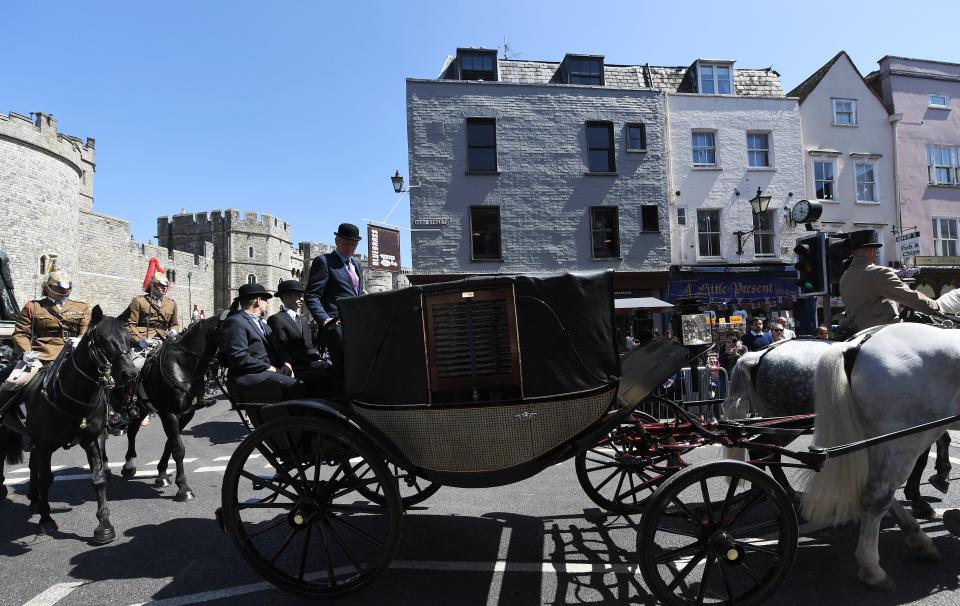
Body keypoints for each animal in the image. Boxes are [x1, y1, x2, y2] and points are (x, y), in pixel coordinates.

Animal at [0, 308, 137, 548]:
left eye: (129, 339)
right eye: (102, 340)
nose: (129, 373)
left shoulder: (91, 440)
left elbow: (98, 478)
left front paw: (104, 526)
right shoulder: (45, 445)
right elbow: (46, 480)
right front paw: (45, 521)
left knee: (33, 465)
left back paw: (34, 499)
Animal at [120, 314, 221, 504]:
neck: (183, 367)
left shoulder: (186, 414)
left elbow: (171, 443)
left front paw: (162, 474)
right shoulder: (169, 414)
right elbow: (178, 449)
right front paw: (184, 488)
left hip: (144, 407)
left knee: (133, 430)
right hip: (138, 407)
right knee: (131, 432)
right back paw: (129, 465)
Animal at [800, 326, 956, 592]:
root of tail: (856, 343)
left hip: (877, 439)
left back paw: (918, 536)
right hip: (905, 439)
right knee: (877, 495)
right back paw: (872, 568)